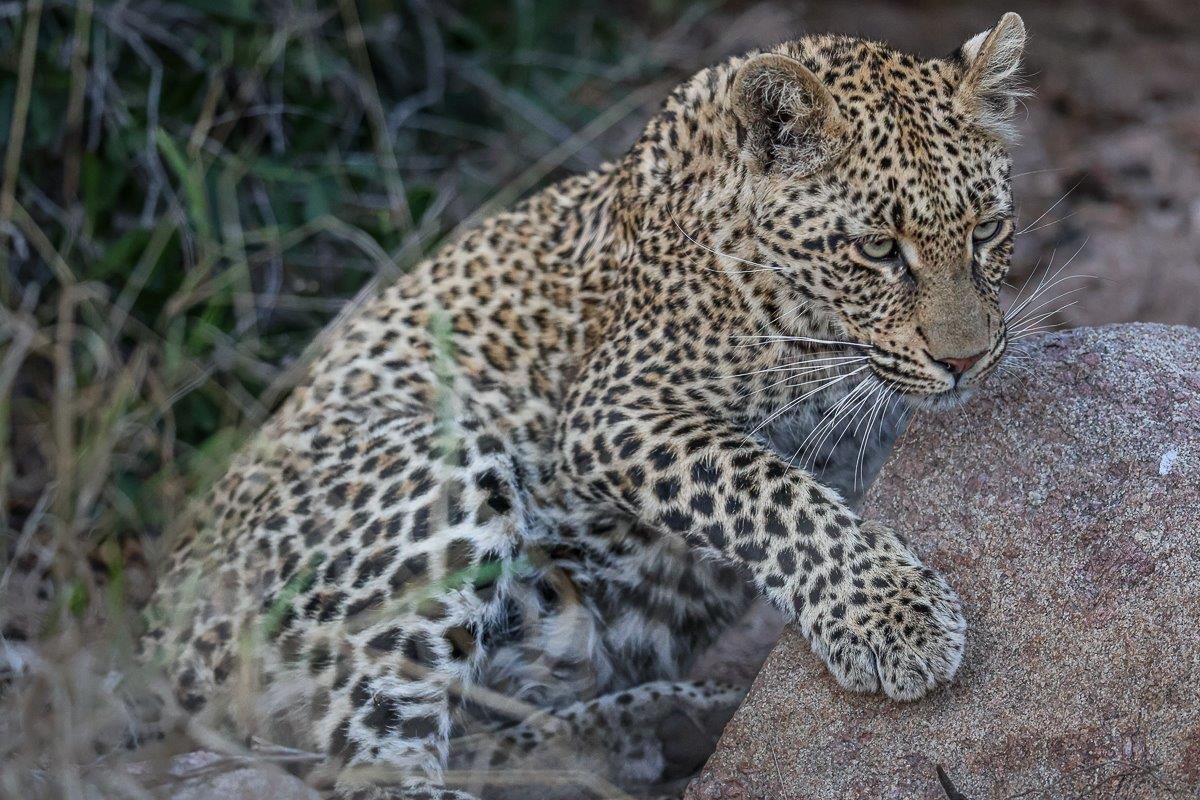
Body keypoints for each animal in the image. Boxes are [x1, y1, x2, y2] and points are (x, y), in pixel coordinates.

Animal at [139, 13, 1027, 800]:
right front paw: (893, 618)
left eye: (986, 232)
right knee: (371, 763)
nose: (966, 360)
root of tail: (154, 648)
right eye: (879, 249)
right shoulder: (615, 410)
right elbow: (769, 490)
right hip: (444, 465)